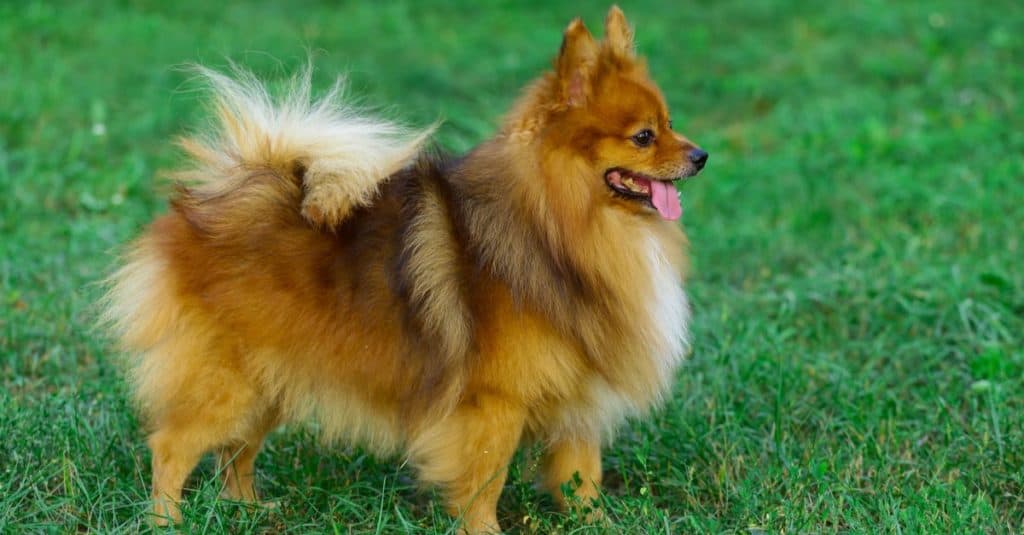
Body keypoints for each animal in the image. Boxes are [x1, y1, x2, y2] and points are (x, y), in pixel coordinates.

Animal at [105, 6, 712, 528]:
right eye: (643, 136)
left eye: (671, 123)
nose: (701, 155)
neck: (559, 225)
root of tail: (221, 201)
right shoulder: (494, 404)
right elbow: (485, 481)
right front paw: (484, 529)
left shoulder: (577, 394)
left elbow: (583, 476)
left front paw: (598, 524)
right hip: (229, 385)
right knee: (172, 447)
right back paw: (166, 520)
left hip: (271, 382)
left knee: (237, 452)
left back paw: (248, 508)